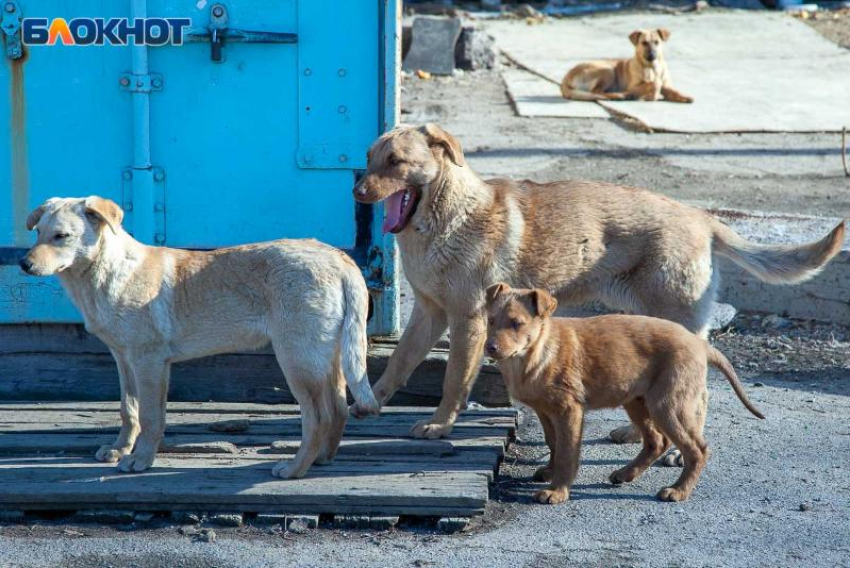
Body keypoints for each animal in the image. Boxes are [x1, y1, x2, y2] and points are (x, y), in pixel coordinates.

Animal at [20, 197, 378, 478]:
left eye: (61, 236)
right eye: (37, 233)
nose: (23, 264)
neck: (108, 273)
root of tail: (339, 258)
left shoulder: (150, 362)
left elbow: (151, 416)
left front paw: (140, 461)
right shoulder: (124, 360)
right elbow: (128, 410)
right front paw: (120, 450)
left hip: (297, 361)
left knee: (318, 417)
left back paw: (293, 469)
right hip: (326, 359)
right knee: (339, 409)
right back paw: (320, 460)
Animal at [352, 123, 840, 444]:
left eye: (396, 162)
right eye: (370, 157)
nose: (356, 191)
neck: (448, 217)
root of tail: (703, 217)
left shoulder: (467, 322)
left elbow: (454, 381)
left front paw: (440, 425)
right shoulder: (429, 314)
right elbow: (397, 364)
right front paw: (370, 402)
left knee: (698, 394)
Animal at [480, 286, 764, 504]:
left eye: (517, 324)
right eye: (491, 320)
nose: (489, 348)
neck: (537, 352)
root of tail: (700, 344)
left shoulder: (569, 409)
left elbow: (567, 452)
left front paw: (558, 491)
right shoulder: (545, 411)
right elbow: (554, 444)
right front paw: (550, 472)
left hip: (668, 404)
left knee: (697, 449)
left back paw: (678, 491)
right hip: (637, 401)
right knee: (656, 442)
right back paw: (625, 474)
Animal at [560, 28, 692, 103]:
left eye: (657, 42)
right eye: (644, 43)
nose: (652, 55)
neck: (651, 68)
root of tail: (565, 78)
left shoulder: (666, 83)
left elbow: (670, 89)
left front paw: (683, 96)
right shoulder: (633, 86)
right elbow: (654, 83)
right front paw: (651, 95)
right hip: (607, 70)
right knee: (596, 92)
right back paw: (619, 95)